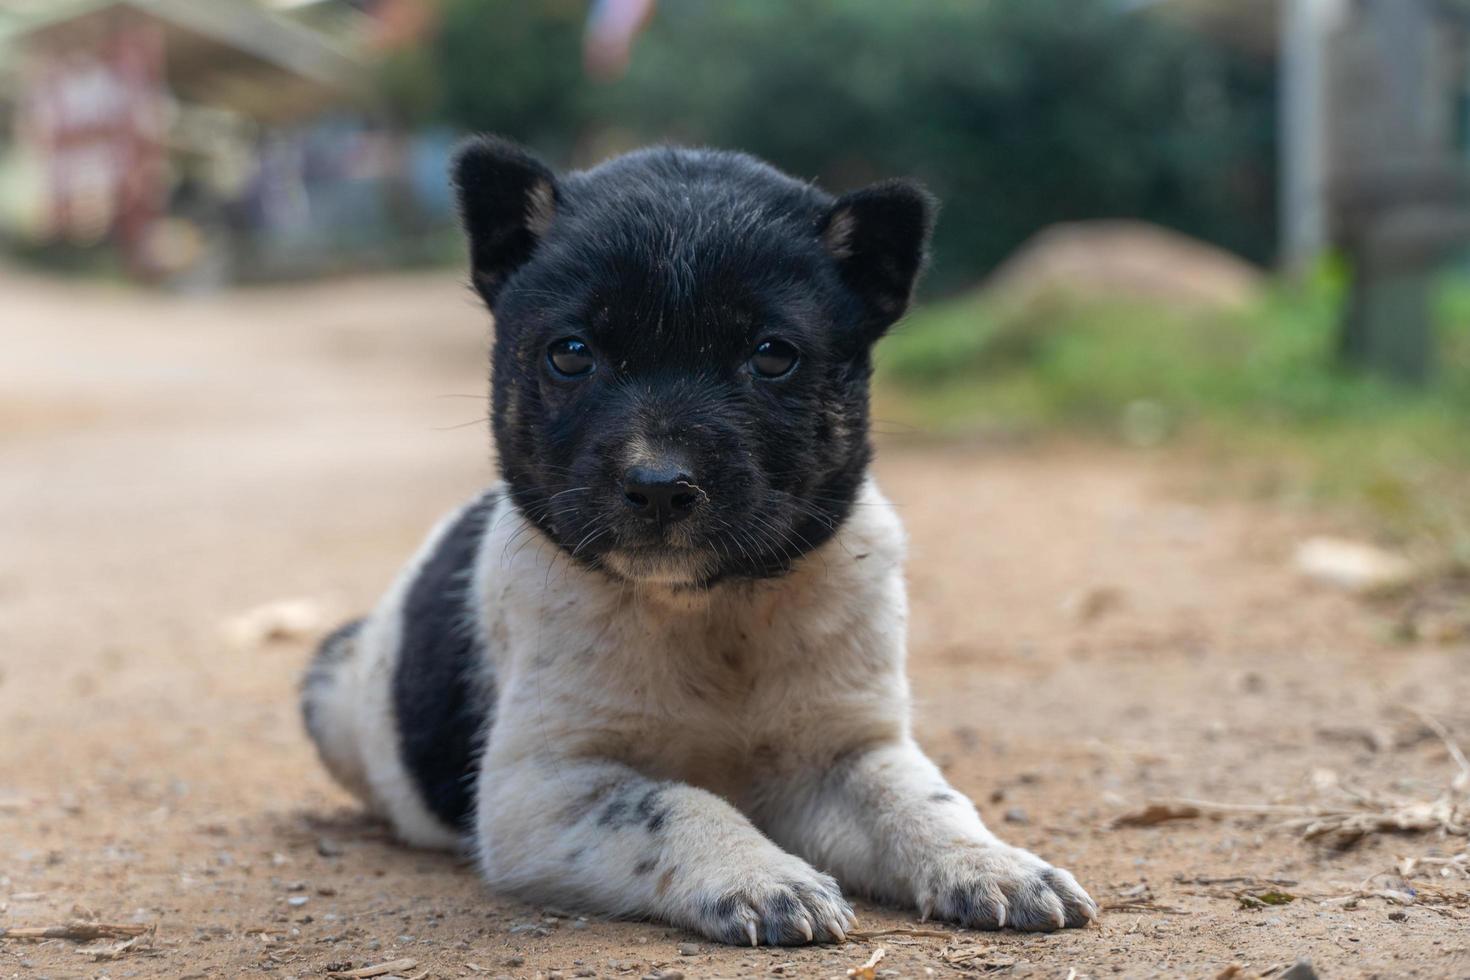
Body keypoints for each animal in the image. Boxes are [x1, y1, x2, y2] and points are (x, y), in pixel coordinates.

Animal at [304, 138, 1099, 940]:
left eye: (772, 355)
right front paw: (761, 877)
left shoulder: (846, 751)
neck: (708, 609)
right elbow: (674, 804)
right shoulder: (542, 789)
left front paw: (993, 864)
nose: (659, 485)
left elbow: (920, 801)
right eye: (571, 353)